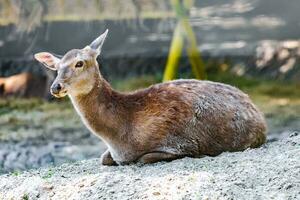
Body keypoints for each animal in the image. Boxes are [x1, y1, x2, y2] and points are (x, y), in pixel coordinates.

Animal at [35, 28, 268, 165]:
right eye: (56, 67)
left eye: (79, 63)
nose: (55, 87)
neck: (121, 138)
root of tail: (261, 117)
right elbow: (103, 158)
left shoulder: (179, 142)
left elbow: (144, 158)